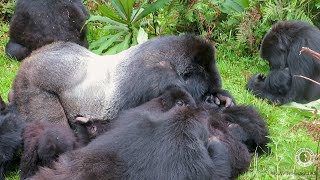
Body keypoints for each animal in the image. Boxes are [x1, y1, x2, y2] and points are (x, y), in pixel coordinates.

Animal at [11, 35, 232, 127]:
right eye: (204, 93)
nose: (210, 98)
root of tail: (27, 61)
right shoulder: (156, 77)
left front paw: (223, 98)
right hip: (31, 81)